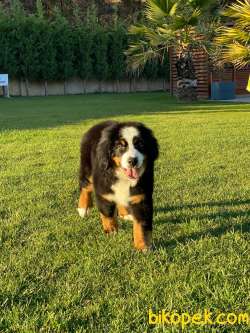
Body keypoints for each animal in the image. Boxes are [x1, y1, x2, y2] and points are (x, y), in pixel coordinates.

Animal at [77, 120, 158, 250]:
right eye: (120, 146)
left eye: (140, 144)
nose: (132, 161)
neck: (122, 176)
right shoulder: (104, 191)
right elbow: (107, 213)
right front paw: (111, 230)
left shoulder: (141, 197)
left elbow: (141, 223)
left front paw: (142, 245)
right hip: (87, 169)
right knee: (85, 186)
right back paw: (83, 208)